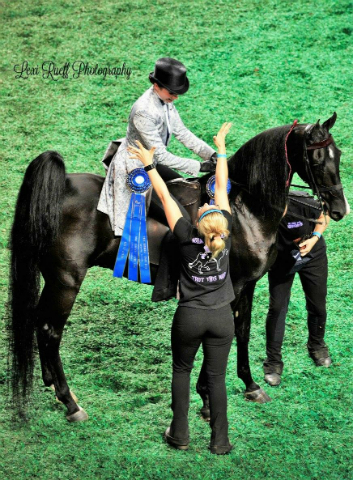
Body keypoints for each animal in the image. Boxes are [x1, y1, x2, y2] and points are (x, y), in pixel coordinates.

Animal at [7, 112, 346, 420]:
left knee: (38, 322)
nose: (340, 209)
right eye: (317, 160)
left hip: (53, 279)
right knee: (51, 330)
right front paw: (207, 400)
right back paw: (71, 403)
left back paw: (52, 385)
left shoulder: (246, 285)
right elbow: (221, 336)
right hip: (66, 281)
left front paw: (250, 385)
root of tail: (61, 187)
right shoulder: (230, 287)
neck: (245, 208)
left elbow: (243, 331)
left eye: (339, 155)